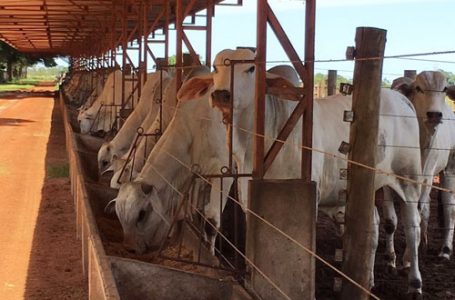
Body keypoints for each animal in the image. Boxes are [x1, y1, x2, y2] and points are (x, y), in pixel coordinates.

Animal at [177, 48, 424, 296]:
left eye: (252, 68)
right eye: (216, 68)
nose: (221, 94)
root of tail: (401, 98)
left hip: (409, 177)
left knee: (413, 226)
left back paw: (414, 282)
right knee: (372, 224)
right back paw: (367, 280)